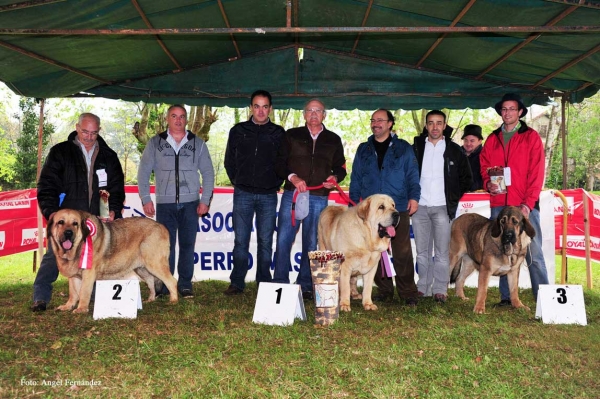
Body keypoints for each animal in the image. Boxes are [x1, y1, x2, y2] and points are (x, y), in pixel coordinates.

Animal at [47, 209, 178, 312]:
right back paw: (151, 299)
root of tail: (162, 226)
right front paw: (68, 306)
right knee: (151, 281)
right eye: (60, 222)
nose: (68, 233)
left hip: (155, 264)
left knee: (171, 281)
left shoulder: (88, 274)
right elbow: (73, 293)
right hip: (142, 268)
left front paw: (81, 309)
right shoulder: (74, 276)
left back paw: (173, 300)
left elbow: (84, 292)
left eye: (75, 224)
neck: (79, 245)